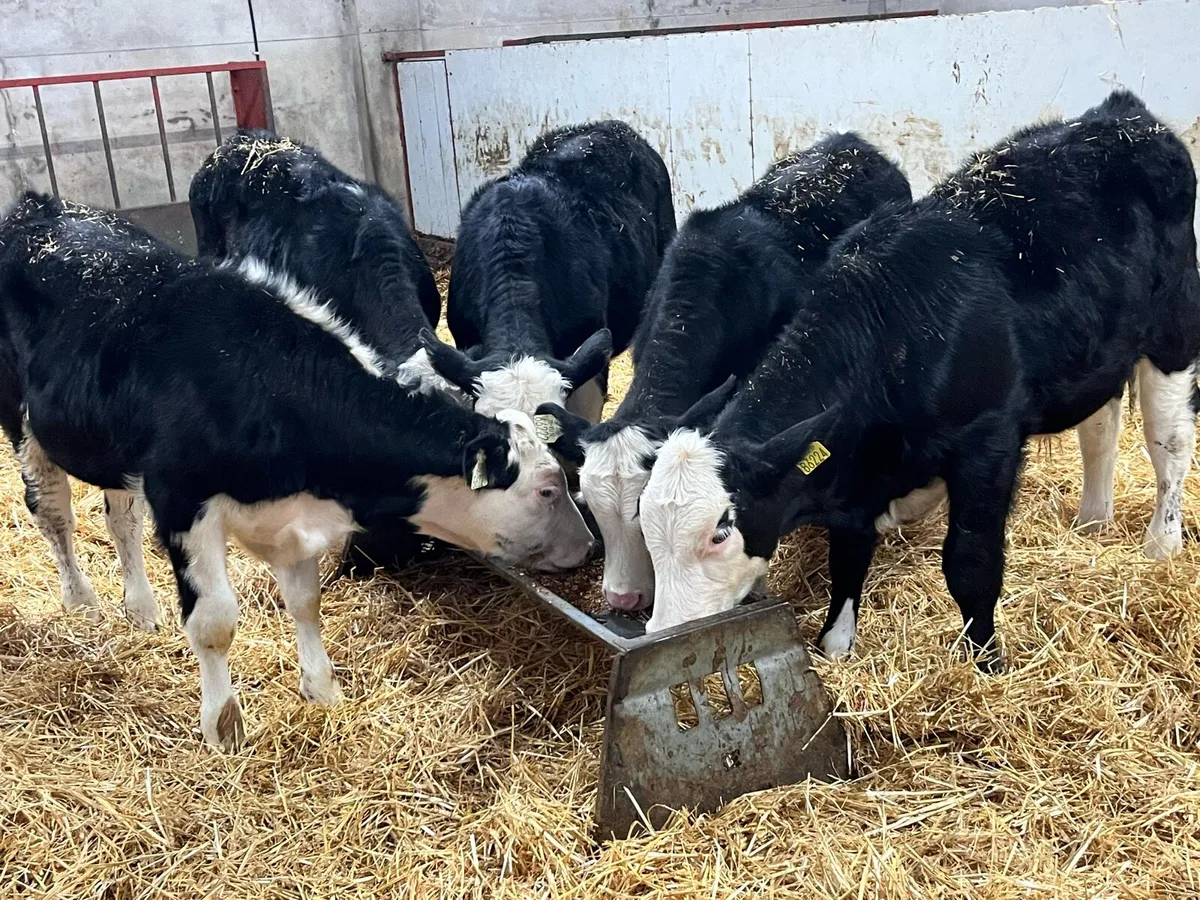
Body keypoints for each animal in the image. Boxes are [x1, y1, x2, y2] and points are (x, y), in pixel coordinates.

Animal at [0, 193, 596, 750]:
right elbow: (214, 622)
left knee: (120, 519)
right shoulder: (181, 500)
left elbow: (306, 601)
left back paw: (141, 608)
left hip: (112, 451)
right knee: (54, 514)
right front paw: (224, 727)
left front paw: (323, 690)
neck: (266, 382)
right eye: (548, 489)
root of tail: (37, 207)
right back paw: (82, 603)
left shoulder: (289, 516)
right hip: (25, 425)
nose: (588, 546)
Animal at [637, 91, 1200, 672]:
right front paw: (835, 644)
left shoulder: (989, 441)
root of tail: (1123, 114)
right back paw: (1092, 521)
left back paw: (1162, 544)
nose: (662, 637)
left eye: (719, 533)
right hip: (1099, 346)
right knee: (1101, 428)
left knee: (1170, 443)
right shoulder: (855, 468)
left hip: (1174, 330)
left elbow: (971, 562)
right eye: (645, 528)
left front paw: (984, 661)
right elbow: (847, 556)